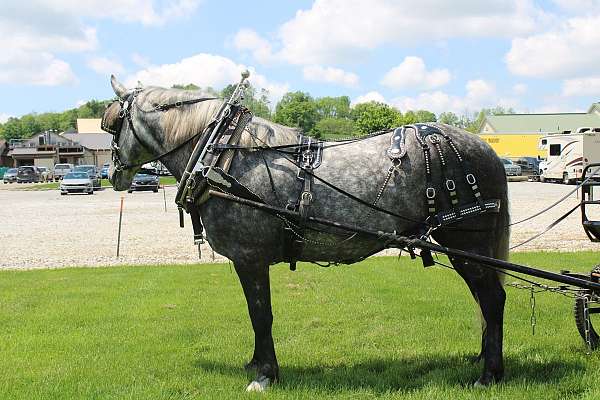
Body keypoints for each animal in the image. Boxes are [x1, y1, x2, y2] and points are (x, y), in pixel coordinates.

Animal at [105, 75, 508, 390]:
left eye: (113, 123)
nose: (113, 175)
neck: (222, 157)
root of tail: (484, 149)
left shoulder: (250, 258)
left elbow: (261, 314)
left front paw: (265, 375)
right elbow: (256, 315)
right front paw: (256, 364)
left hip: (466, 241)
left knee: (492, 299)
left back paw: (489, 374)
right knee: (483, 299)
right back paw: (482, 359)